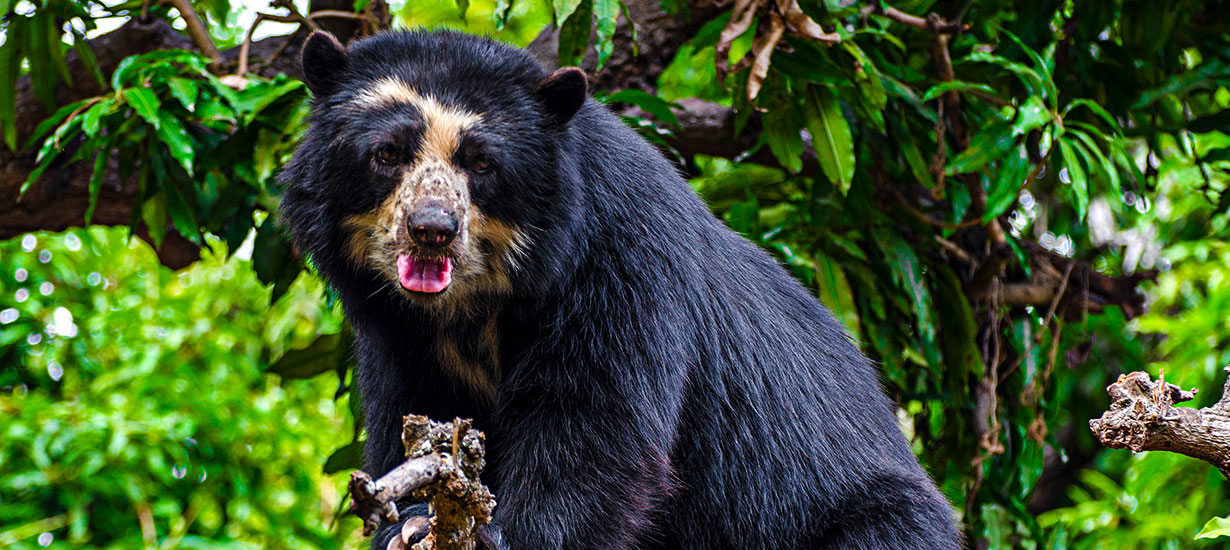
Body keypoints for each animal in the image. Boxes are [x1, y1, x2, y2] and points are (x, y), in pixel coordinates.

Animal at [281, 29, 959, 550]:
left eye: (482, 163)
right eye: (387, 153)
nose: (431, 231)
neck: (477, 304)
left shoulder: (619, 267)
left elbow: (595, 432)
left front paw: (503, 535)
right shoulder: (397, 336)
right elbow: (417, 421)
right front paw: (413, 526)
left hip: (858, 514)